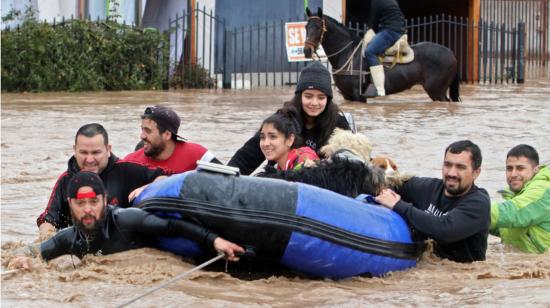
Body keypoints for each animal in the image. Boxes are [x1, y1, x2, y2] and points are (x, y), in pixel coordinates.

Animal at [306, 7, 462, 102]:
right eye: (306, 26)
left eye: (318, 27)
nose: (306, 51)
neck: (348, 53)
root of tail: (451, 53)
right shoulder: (347, 96)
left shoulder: (358, 97)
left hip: (437, 92)